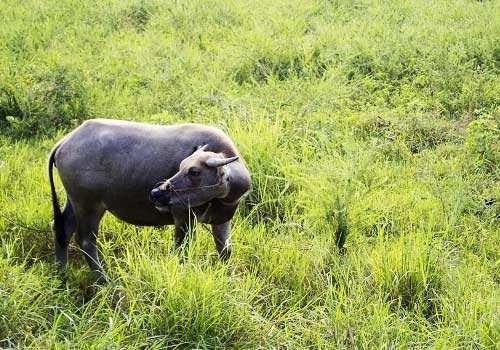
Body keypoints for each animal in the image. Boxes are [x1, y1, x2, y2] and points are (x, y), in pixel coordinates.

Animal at [47, 119, 250, 278]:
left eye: (194, 171)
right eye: (181, 166)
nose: (156, 193)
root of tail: (64, 142)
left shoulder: (221, 220)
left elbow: (225, 250)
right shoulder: (183, 218)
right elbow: (182, 252)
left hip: (74, 201)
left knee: (62, 228)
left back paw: (61, 272)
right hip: (89, 205)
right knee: (86, 241)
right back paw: (104, 280)